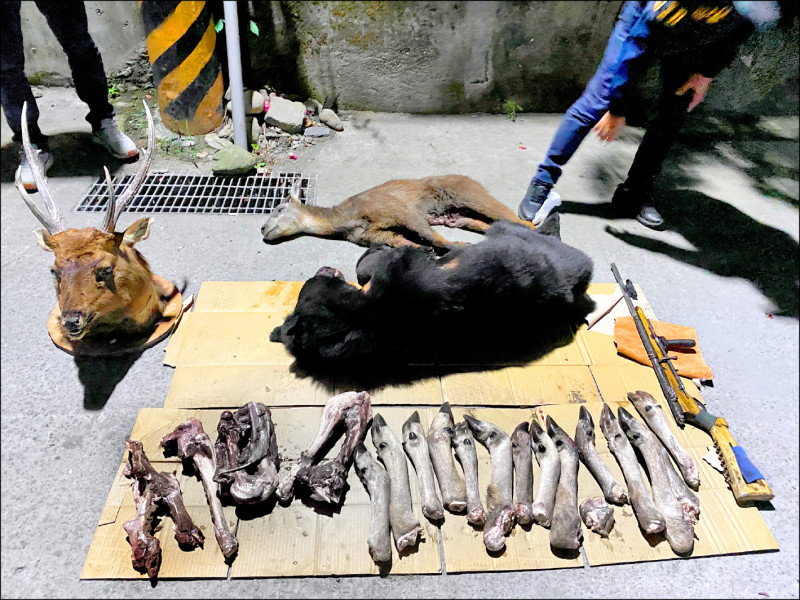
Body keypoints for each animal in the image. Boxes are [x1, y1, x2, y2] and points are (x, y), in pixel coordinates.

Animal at [260, 174, 550, 251]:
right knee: (484, 224)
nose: (262, 228)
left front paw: (457, 247)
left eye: (279, 208)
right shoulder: (374, 235)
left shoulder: (401, 211)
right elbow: (402, 242)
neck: (345, 218)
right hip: (457, 215)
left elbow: (433, 238)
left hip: (470, 194)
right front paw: (419, 250)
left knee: (511, 217)